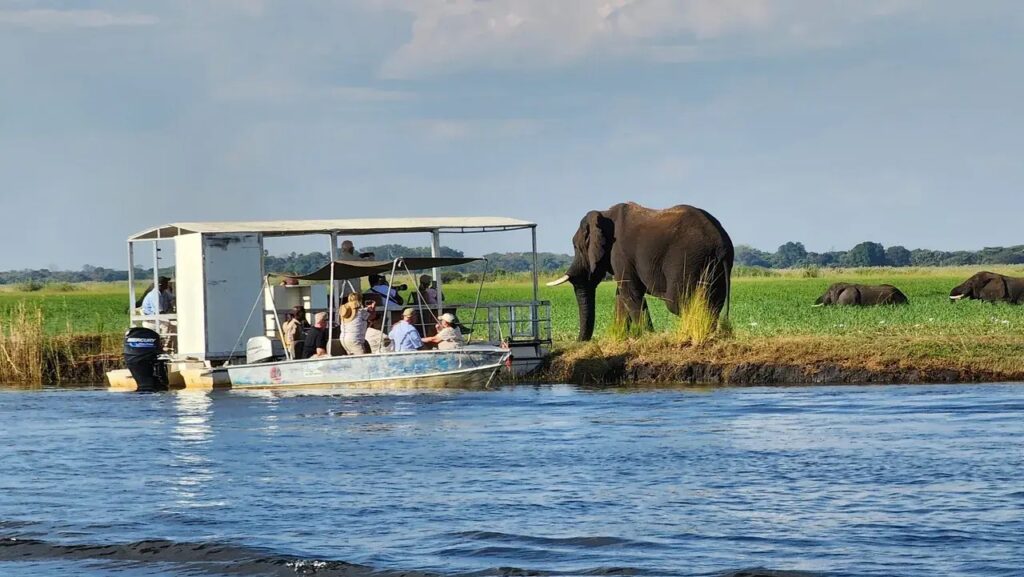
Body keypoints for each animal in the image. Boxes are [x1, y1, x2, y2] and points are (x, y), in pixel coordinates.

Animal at [548, 201, 733, 340]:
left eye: (576, 247)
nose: (579, 341)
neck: (604, 214)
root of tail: (720, 241)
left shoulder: (619, 252)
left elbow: (629, 292)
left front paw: (649, 336)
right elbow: (621, 295)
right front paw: (620, 337)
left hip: (687, 257)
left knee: (677, 303)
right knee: (714, 301)